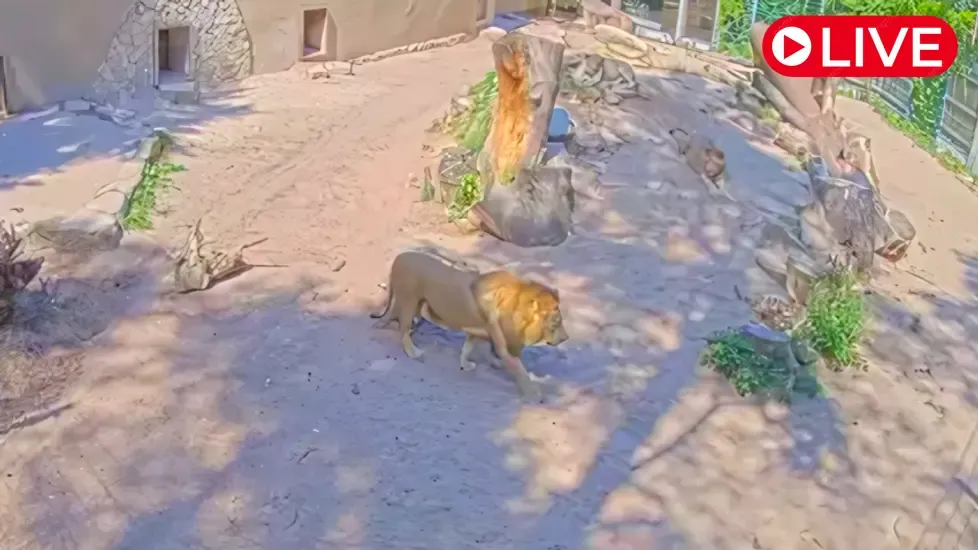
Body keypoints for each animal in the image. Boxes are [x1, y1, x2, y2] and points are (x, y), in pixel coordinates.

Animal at [370, 249, 569, 401]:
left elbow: (467, 348)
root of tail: (399, 257)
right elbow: (521, 371)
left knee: (392, 314)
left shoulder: (478, 333)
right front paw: (534, 394)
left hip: (416, 304)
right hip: (410, 301)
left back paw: (382, 324)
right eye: (557, 321)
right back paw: (413, 352)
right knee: (403, 330)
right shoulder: (505, 347)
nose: (566, 338)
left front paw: (466, 365)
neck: (516, 309)